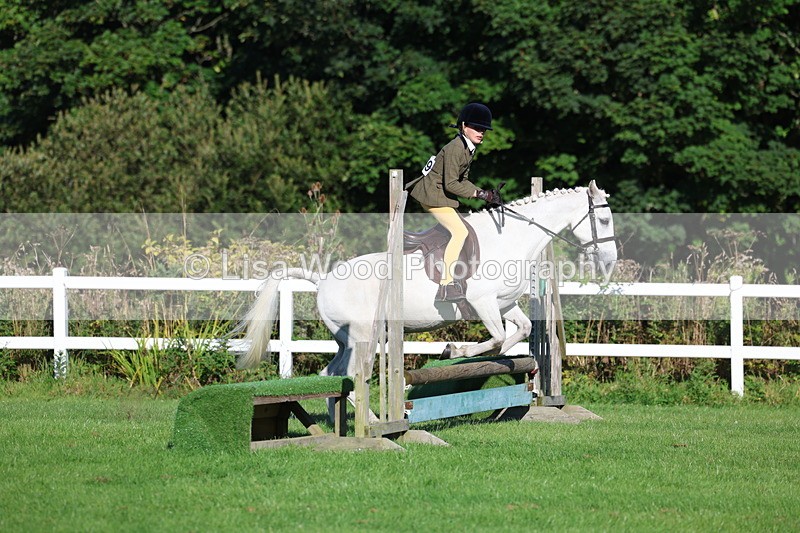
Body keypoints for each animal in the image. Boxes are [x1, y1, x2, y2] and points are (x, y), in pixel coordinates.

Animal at [236, 181, 617, 379]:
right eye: (605, 220)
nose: (610, 261)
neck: (510, 238)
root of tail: (322, 278)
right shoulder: (481, 302)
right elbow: (495, 337)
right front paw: (454, 350)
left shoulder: (504, 304)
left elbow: (517, 332)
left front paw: (474, 353)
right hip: (362, 336)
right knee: (353, 375)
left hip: (347, 340)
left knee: (333, 375)